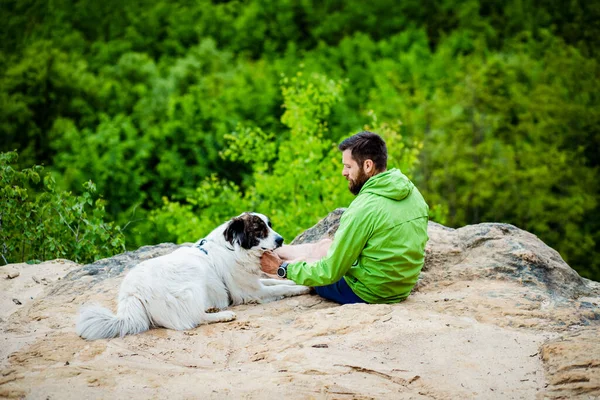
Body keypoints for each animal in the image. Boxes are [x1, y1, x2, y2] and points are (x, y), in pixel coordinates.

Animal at [76, 212, 310, 340]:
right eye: (259, 229)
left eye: (269, 225)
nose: (281, 240)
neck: (233, 249)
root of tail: (132, 294)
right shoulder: (251, 292)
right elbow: (281, 288)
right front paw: (303, 288)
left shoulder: (254, 281)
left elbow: (276, 280)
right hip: (192, 282)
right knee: (193, 320)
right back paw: (222, 315)